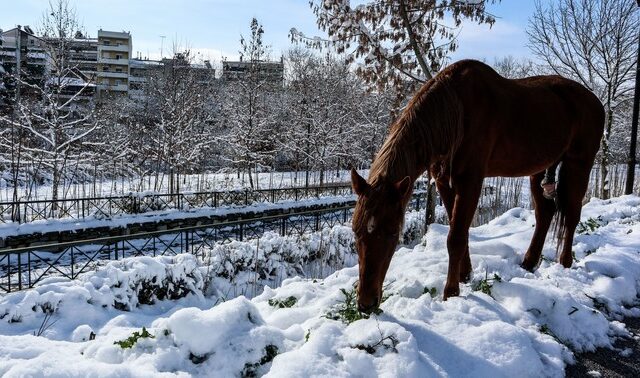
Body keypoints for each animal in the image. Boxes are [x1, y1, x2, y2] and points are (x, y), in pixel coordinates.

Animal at [352, 59, 604, 314]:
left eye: (393, 232)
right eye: (356, 231)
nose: (366, 303)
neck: (456, 110)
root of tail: (594, 100)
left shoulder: (470, 180)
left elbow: (456, 237)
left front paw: (451, 292)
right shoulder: (444, 182)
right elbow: (458, 230)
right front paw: (465, 275)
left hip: (579, 164)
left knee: (572, 215)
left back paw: (565, 262)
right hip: (540, 169)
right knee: (545, 214)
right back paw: (529, 262)